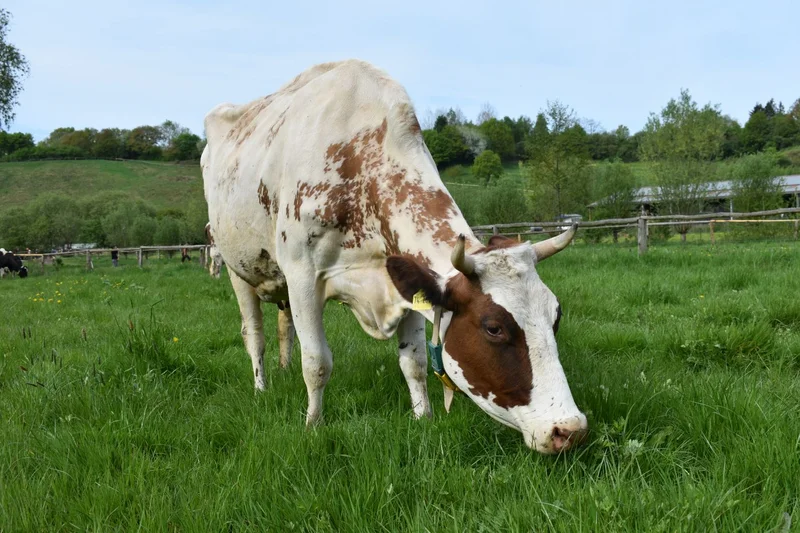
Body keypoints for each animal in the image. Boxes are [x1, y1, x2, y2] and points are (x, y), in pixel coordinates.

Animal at [201, 60, 586, 454]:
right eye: (493, 327)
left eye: (556, 315)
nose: (569, 430)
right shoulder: (302, 276)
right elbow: (317, 363)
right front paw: (313, 426)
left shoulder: (405, 279)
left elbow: (414, 361)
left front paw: (423, 418)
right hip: (236, 269)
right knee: (254, 334)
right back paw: (262, 387)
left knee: (284, 329)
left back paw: (283, 368)